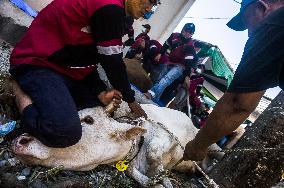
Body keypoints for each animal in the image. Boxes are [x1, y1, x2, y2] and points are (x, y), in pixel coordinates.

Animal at [11, 102, 222, 187]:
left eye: (89, 120)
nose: (21, 141)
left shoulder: (166, 138)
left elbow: (155, 153)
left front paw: (165, 177)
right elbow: (139, 176)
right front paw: (158, 180)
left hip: (211, 144)